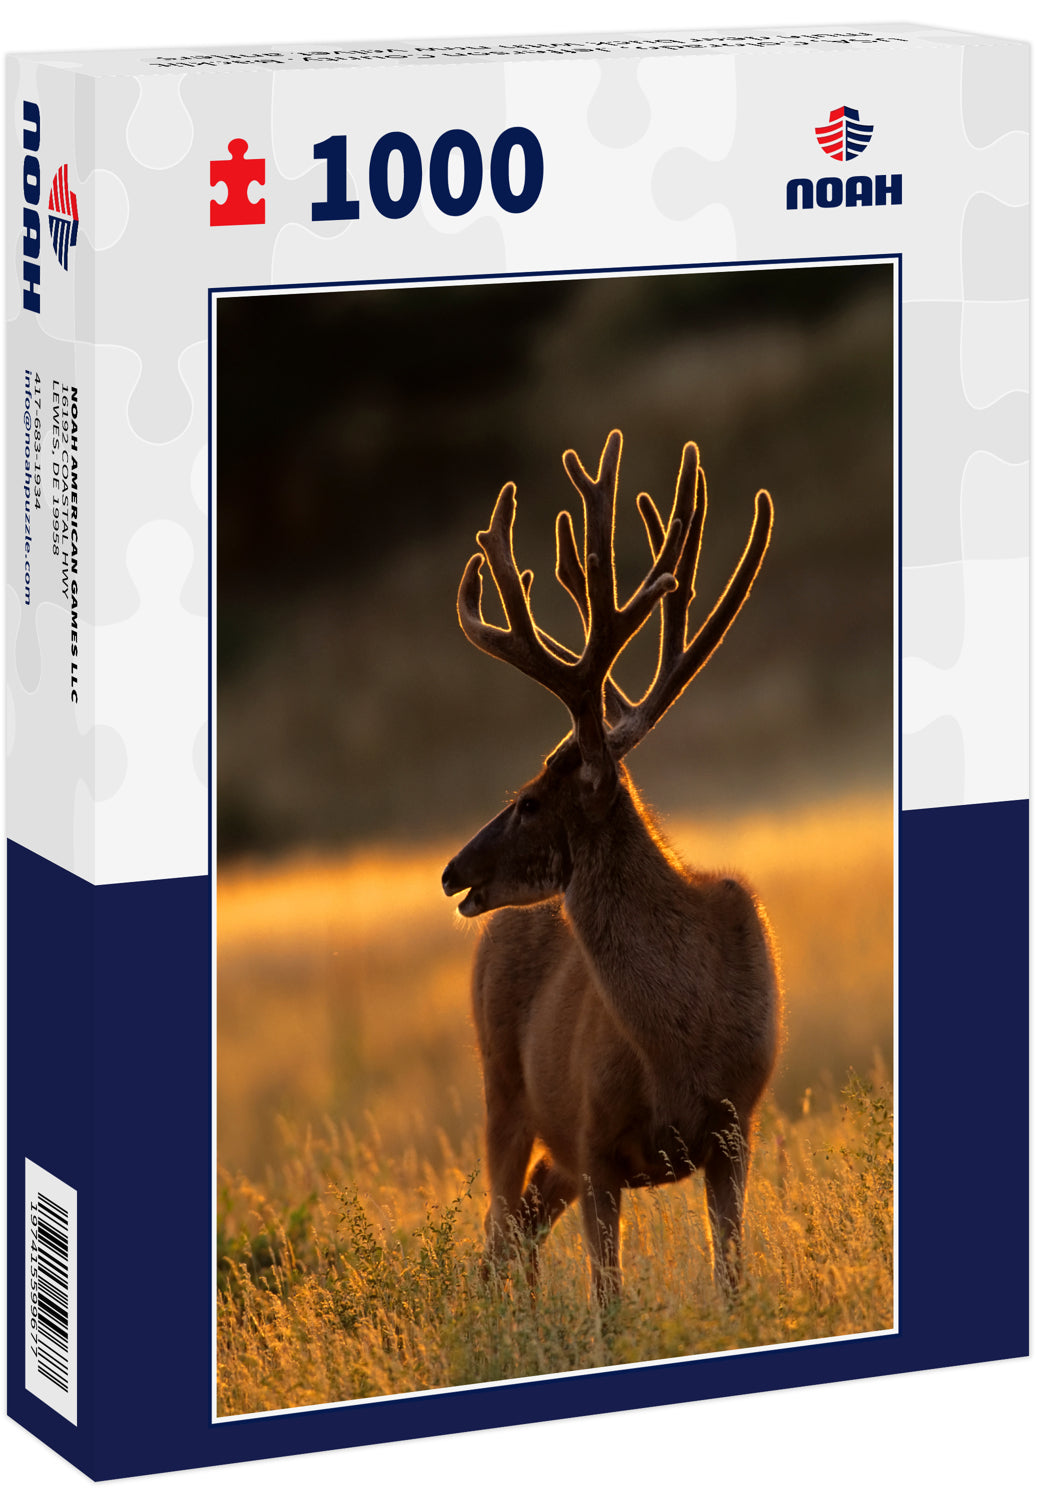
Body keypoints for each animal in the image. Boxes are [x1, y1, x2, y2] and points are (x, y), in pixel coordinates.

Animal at [441, 429, 780, 1305]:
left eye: (528, 800)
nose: (452, 872)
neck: (679, 1045)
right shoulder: (593, 1143)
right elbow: (610, 1305)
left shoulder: (737, 1129)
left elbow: (733, 1281)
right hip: (502, 1087)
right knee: (498, 1233)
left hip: (542, 1138)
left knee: (517, 1228)